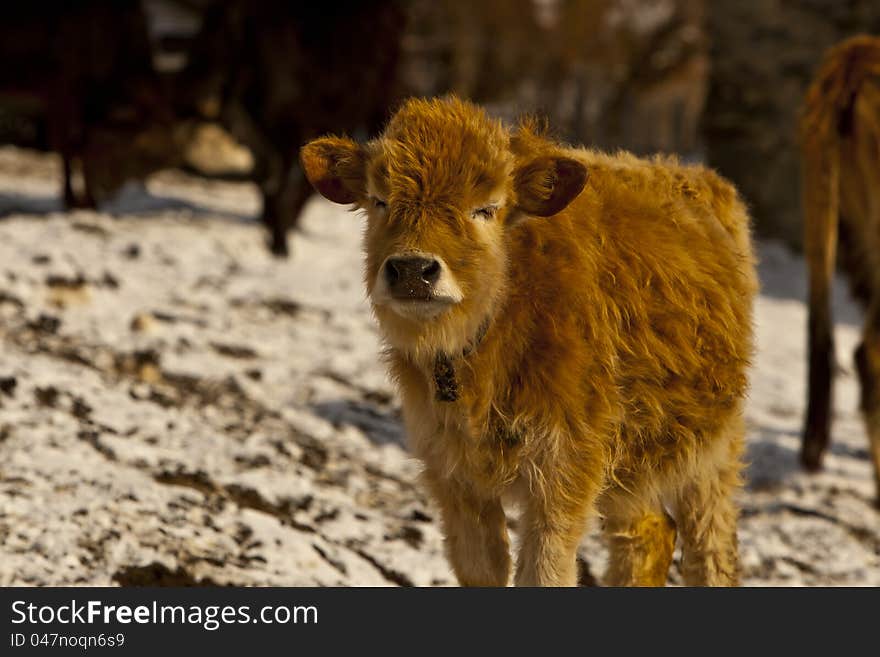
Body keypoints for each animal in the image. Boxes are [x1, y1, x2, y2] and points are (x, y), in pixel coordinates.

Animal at [302, 96, 756, 584]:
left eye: (486, 208)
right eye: (379, 200)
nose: (412, 270)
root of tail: (698, 177)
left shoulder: (563, 471)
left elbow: (544, 571)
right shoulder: (453, 474)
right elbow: (483, 569)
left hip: (712, 455)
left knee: (710, 552)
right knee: (648, 535)